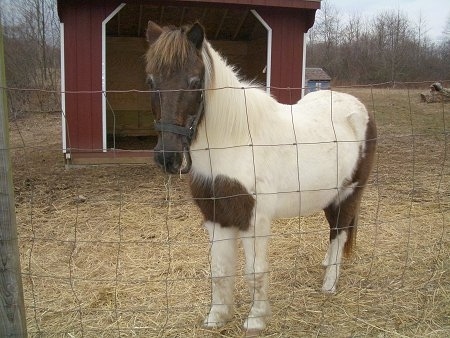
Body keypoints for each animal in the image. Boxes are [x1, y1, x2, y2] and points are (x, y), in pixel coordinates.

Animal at [144, 21, 376, 332]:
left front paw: (256, 319)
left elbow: (255, 271)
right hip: (331, 196)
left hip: (349, 193)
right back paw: (327, 266)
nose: (167, 157)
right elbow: (219, 271)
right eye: (151, 82)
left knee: (339, 233)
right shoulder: (216, 218)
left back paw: (329, 285)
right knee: (334, 232)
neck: (235, 140)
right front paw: (217, 317)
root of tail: (356, 107)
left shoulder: (254, 221)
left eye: (194, 82)